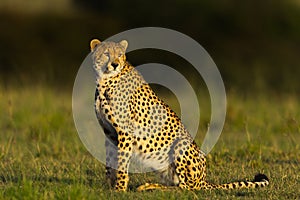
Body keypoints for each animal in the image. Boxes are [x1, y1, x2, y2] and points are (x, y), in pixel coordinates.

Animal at [89, 38, 270, 191]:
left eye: (119, 54)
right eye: (106, 53)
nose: (115, 64)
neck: (104, 80)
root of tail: (203, 180)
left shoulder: (125, 132)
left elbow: (121, 162)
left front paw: (119, 189)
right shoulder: (110, 132)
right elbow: (110, 161)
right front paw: (109, 187)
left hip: (181, 144)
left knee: (186, 187)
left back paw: (152, 187)